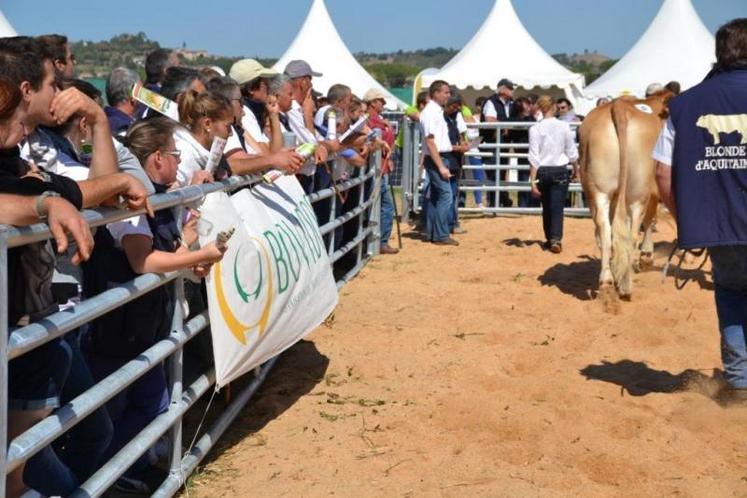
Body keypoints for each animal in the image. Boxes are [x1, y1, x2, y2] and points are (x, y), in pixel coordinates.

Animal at [576, 91, 676, 300]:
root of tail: (619, 107)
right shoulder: (654, 190)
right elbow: (649, 219)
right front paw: (646, 256)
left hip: (598, 191)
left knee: (605, 232)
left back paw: (607, 281)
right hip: (638, 194)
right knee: (632, 233)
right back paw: (625, 286)